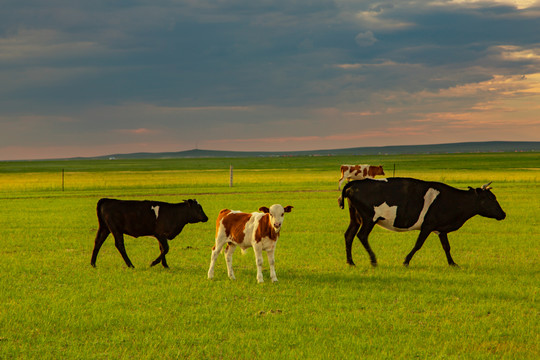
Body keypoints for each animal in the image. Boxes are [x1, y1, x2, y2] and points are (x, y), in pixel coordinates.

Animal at [338, 178, 506, 268]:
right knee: (362, 236)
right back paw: (373, 260)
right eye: (490, 198)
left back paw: (350, 262)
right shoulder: (428, 226)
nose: (503, 214)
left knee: (349, 235)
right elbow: (418, 244)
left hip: (355, 218)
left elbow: (446, 246)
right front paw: (406, 261)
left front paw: (453, 263)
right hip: (368, 218)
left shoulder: (441, 228)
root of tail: (354, 183)